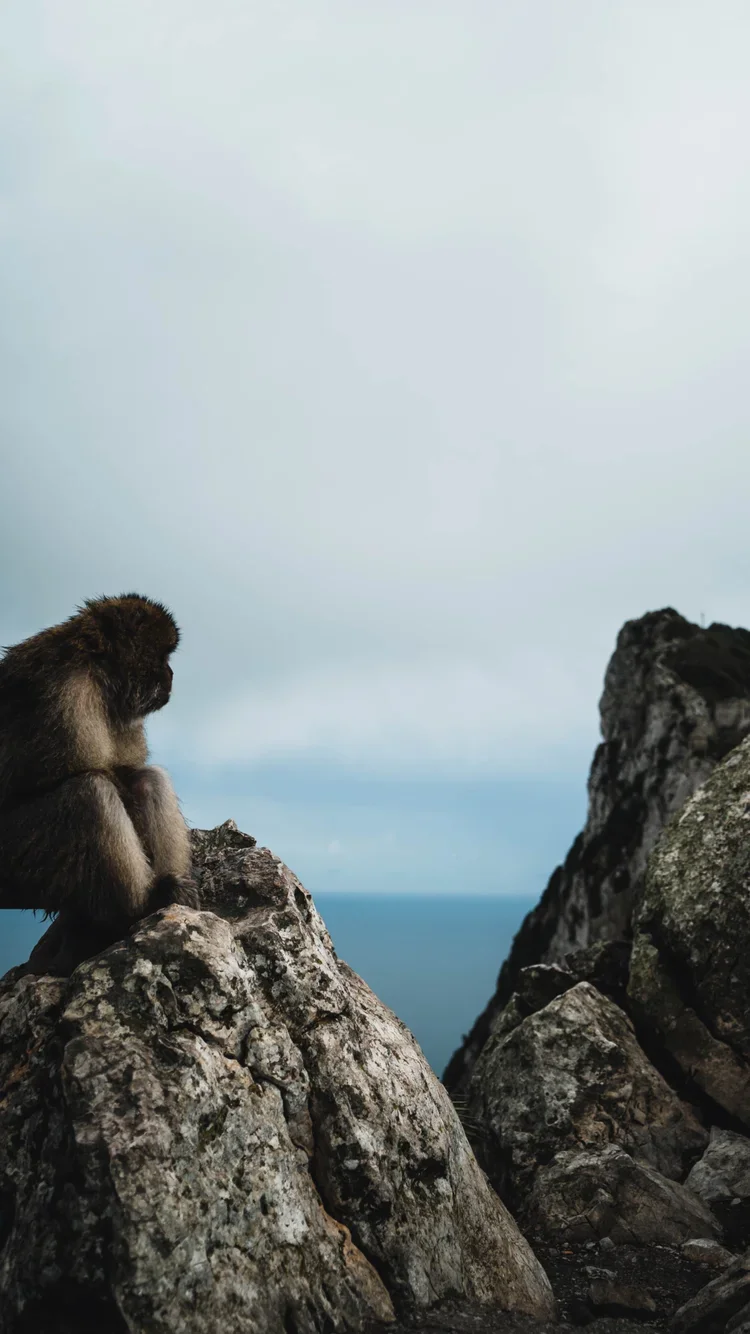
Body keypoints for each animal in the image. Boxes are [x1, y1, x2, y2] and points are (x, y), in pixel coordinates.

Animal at [0, 594, 199, 974]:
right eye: (162, 656)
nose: (170, 675)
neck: (99, 672)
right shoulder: (66, 693)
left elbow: (131, 772)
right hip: (17, 860)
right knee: (89, 793)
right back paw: (138, 909)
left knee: (147, 780)